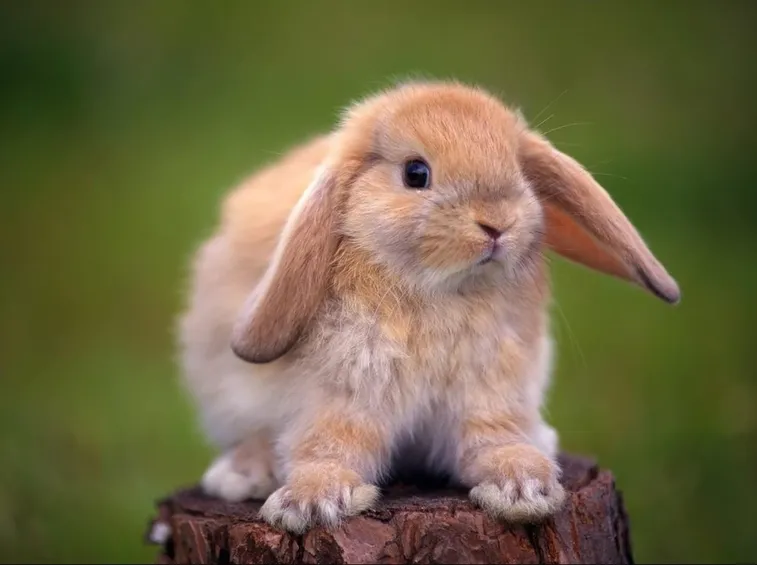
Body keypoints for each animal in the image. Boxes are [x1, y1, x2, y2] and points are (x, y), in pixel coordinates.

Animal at [177, 80, 680, 534]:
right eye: (416, 173)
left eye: (518, 170)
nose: (497, 223)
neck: (442, 291)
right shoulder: (344, 394)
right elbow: (330, 446)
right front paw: (308, 504)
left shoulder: (490, 391)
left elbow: (493, 440)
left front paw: (524, 489)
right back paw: (242, 475)